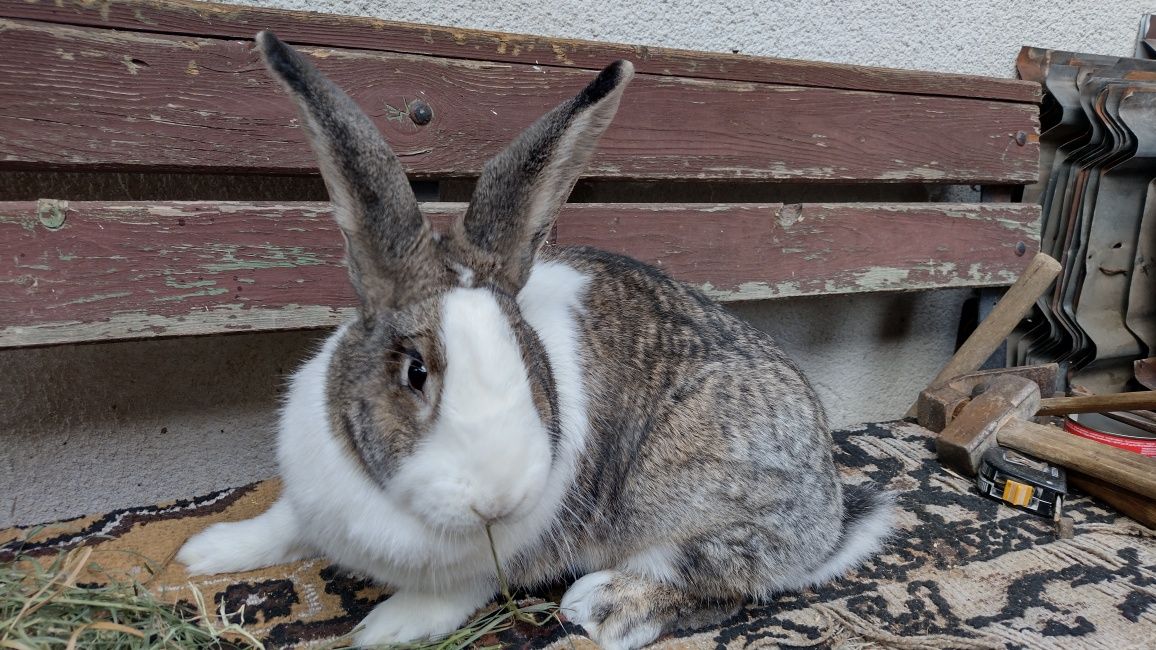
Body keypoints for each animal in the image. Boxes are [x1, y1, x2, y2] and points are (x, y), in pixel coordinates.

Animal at [175, 31, 892, 647]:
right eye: (414, 372)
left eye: (527, 361)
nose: (498, 499)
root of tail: (830, 516)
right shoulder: (307, 501)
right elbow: (279, 525)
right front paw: (202, 553)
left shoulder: (497, 562)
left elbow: (453, 594)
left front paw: (383, 629)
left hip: (697, 504)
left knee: (722, 586)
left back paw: (604, 607)